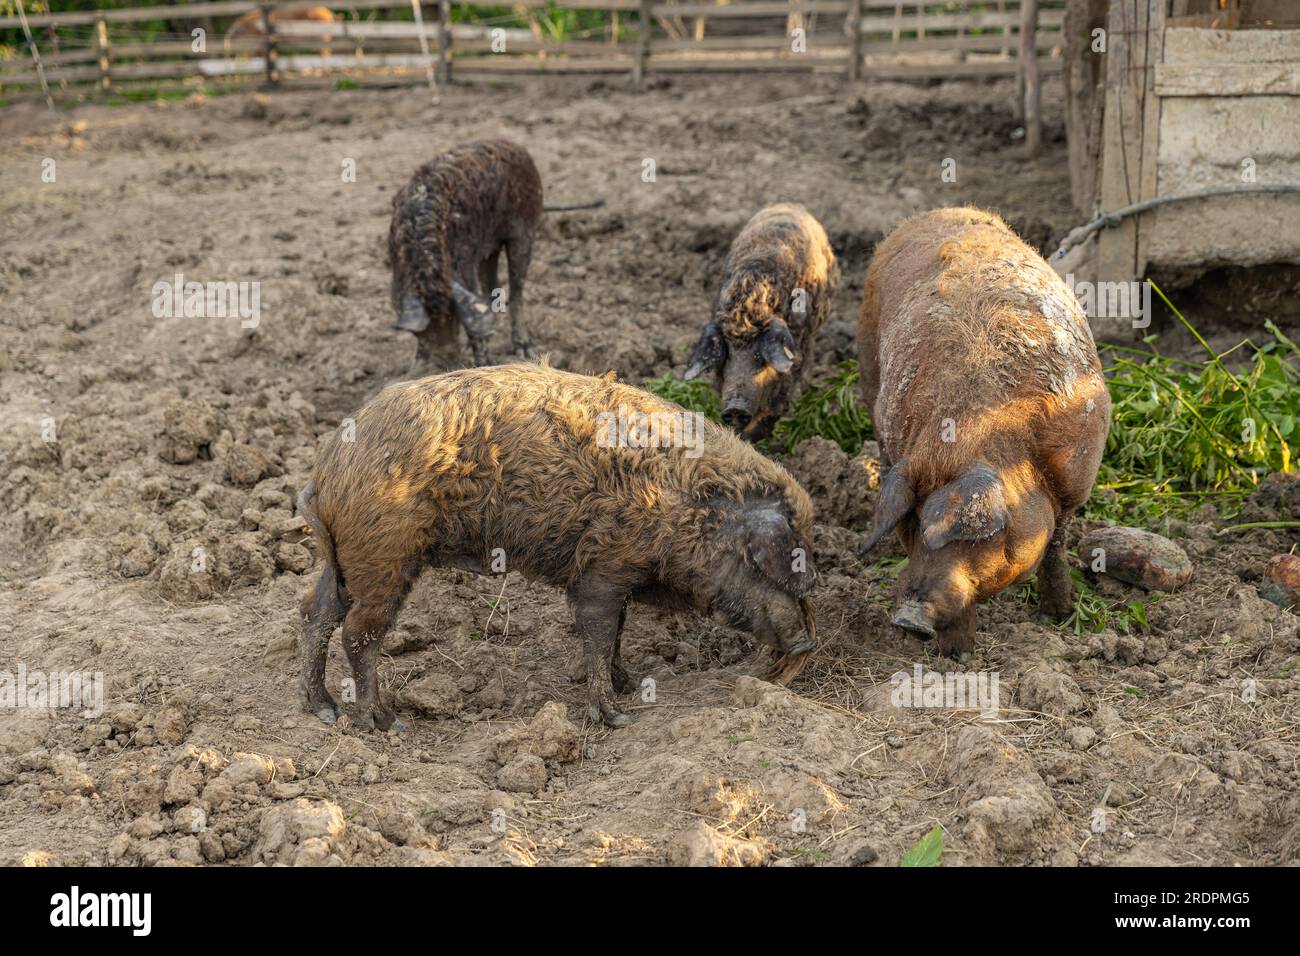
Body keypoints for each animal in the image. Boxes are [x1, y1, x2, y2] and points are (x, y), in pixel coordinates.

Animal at [299, 361, 816, 728]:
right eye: (762, 565)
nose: (807, 640)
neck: (679, 505)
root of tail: (327, 468)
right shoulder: (601, 570)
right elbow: (598, 633)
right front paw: (616, 716)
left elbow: (617, 632)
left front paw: (628, 684)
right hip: (384, 556)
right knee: (357, 632)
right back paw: (384, 722)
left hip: (343, 560)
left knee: (314, 611)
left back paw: (321, 709)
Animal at [390, 141, 543, 374]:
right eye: (425, 332)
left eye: (452, 319)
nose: (446, 365)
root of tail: (518, 148)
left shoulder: (465, 268)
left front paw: (484, 365)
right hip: (489, 249)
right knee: (492, 287)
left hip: (526, 229)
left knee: (516, 290)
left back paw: (525, 351)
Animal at [857, 208, 1112, 658]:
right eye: (912, 526)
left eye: (975, 537)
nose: (907, 619)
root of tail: (940, 212)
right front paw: (956, 656)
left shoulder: (1073, 484)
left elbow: (1056, 547)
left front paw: (1058, 616)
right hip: (869, 367)